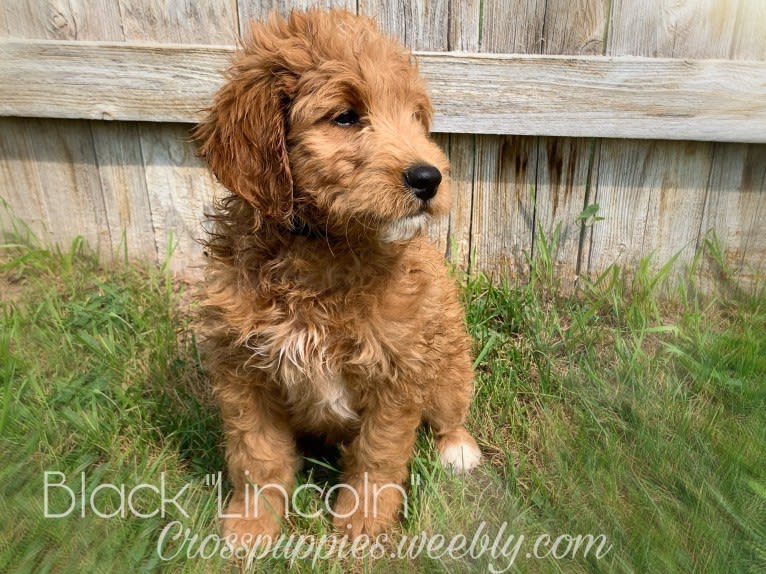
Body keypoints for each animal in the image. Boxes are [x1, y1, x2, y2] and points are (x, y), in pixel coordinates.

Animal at [194, 7, 480, 544]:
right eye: (346, 116)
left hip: (449, 366)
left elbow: (378, 454)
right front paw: (253, 523)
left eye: (415, 118)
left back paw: (460, 451)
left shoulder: (398, 372)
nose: (429, 178)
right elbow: (257, 454)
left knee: (450, 414)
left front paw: (362, 522)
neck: (320, 251)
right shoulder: (243, 371)